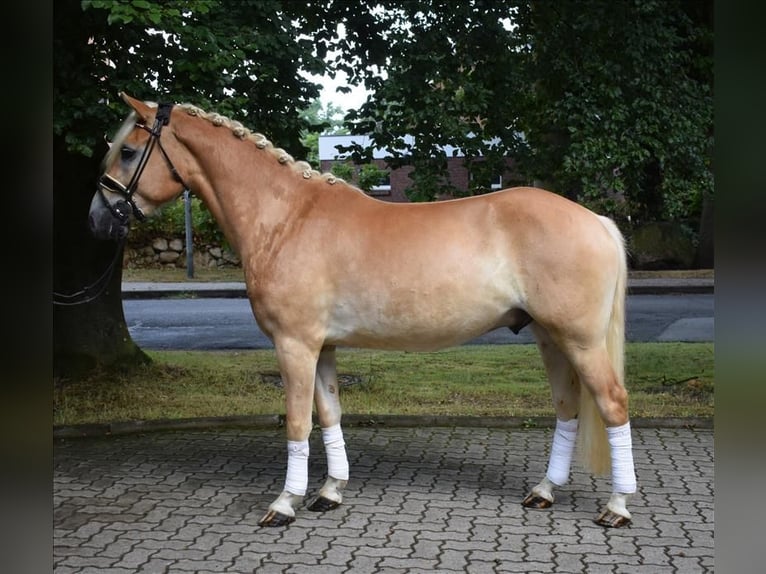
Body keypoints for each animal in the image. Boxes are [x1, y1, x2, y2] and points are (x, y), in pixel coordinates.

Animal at [89, 93, 637, 528]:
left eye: (129, 151)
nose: (98, 220)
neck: (287, 218)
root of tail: (596, 220)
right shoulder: (322, 346)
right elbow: (329, 413)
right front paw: (329, 492)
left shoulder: (294, 345)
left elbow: (296, 422)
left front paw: (284, 503)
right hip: (550, 337)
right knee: (568, 407)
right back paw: (544, 491)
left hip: (580, 340)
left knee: (612, 404)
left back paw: (616, 507)